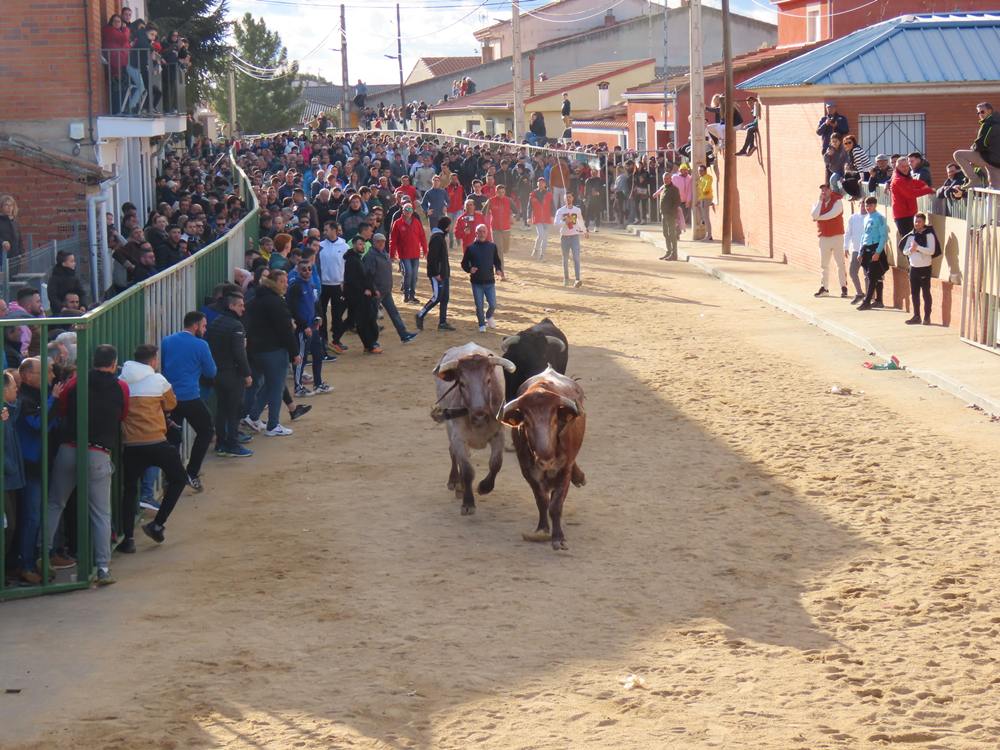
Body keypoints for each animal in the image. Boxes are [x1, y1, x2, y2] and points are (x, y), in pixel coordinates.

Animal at [500, 368, 584, 552]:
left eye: (554, 420)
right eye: (527, 422)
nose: (545, 461)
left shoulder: (564, 470)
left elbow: (555, 505)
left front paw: (558, 538)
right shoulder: (528, 472)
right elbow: (542, 501)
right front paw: (542, 529)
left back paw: (580, 477)